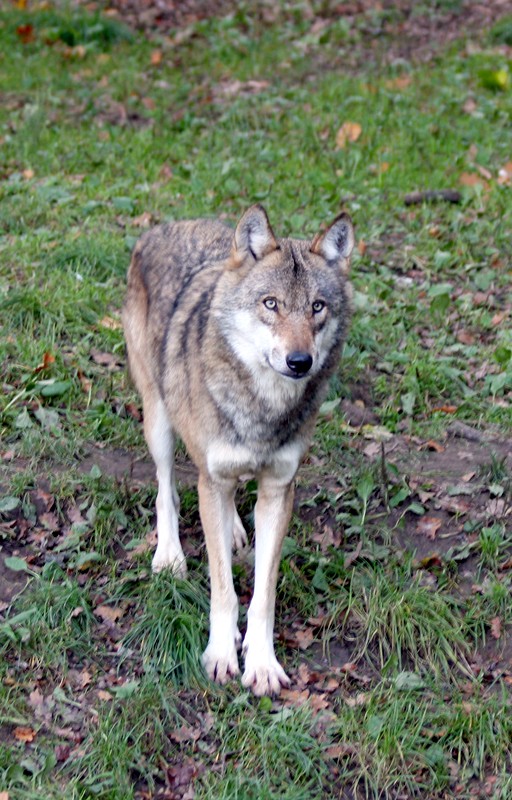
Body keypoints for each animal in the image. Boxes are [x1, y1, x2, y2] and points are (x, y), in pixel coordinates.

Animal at [123, 205, 354, 692]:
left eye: (317, 307)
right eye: (271, 304)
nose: (300, 361)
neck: (262, 407)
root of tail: (166, 226)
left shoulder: (278, 490)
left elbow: (263, 594)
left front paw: (262, 663)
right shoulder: (212, 477)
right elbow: (223, 589)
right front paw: (221, 653)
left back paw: (231, 531)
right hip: (159, 419)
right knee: (166, 490)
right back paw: (169, 555)